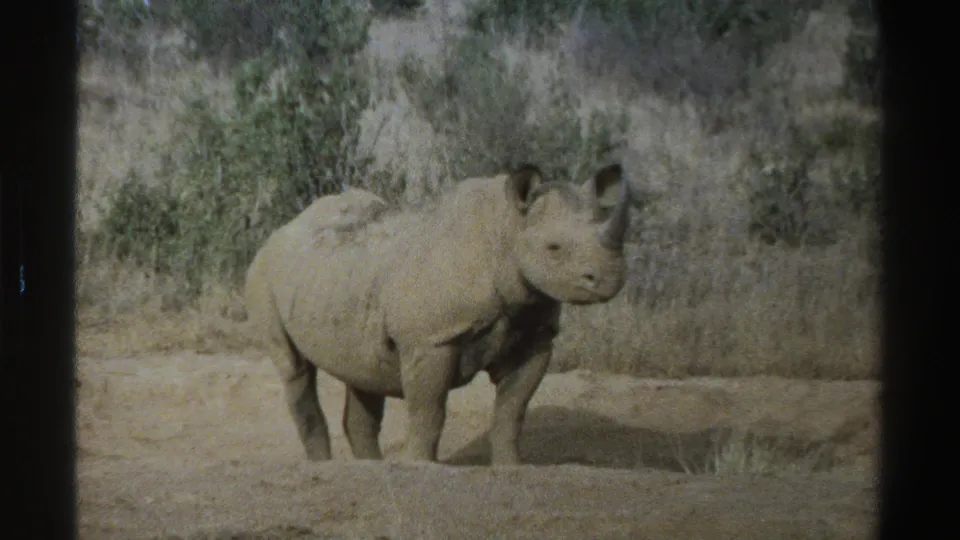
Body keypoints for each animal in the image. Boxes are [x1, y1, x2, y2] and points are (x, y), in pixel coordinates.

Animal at [244, 163, 634, 465]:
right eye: (554, 248)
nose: (610, 278)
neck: (507, 231)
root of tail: (284, 228)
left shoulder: (535, 333)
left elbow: (512, 410)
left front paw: (512, 467)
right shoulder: (431, 339)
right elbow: (429, 408)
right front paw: (419, 466)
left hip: (338, 278)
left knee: (362, 370)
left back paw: (371, 467)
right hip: (263, 274)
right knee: (295, 368)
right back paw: (323, 466)